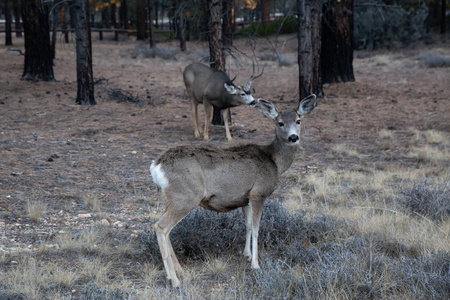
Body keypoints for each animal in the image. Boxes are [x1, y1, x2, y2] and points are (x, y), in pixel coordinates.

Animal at [151, 95, 316, 288]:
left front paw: (247, 255)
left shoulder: (245, 198)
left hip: (171, 198)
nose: (293, 137)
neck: (274, 161)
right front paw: (255, 264)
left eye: (298, 120)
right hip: (186, 197)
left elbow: (248, 225)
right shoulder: (258, 192)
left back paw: (180, 272)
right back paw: (175, 280)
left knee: (164, 228)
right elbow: (257, 227)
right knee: (161, 227)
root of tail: (156, 165)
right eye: (280, 123)